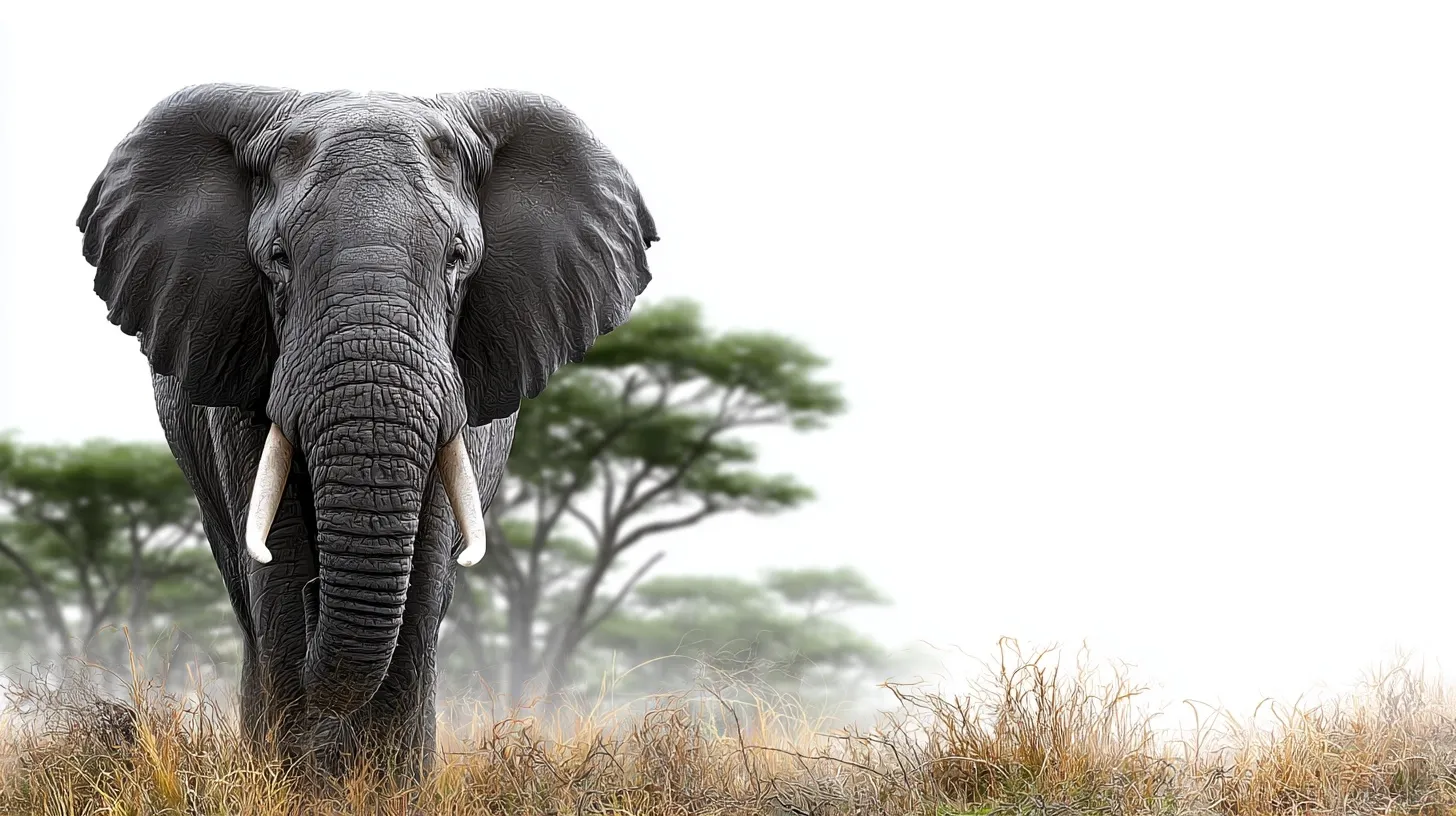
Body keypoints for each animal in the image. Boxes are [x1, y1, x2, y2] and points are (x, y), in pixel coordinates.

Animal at [74, 83, 657, 777]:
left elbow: (425, 566)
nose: (317, 594)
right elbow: (277, 556)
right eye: (277, 260)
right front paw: (293, 784)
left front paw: (388, 787)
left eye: (458, 260)